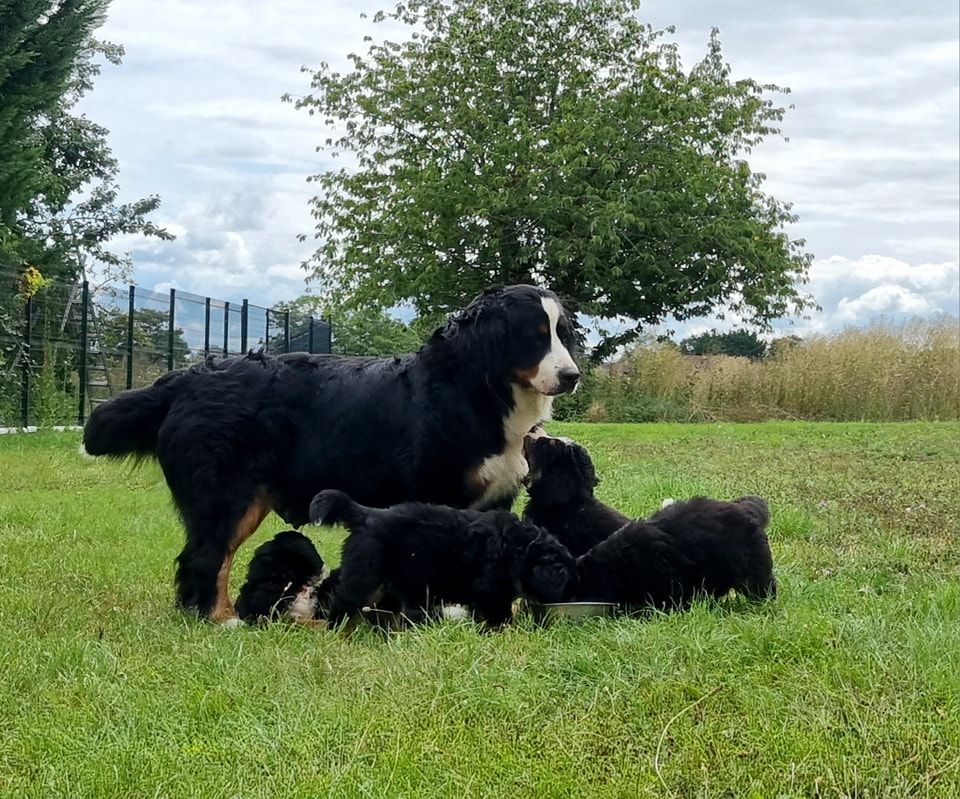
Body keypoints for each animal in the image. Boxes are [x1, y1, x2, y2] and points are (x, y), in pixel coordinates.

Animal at [310, 489, 576, 627]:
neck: (523, 548)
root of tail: (366, 515)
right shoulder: (490, 590)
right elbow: (498, 613)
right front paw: (502, 630)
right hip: (364, 575)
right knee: (343, 602)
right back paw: (336, 630)